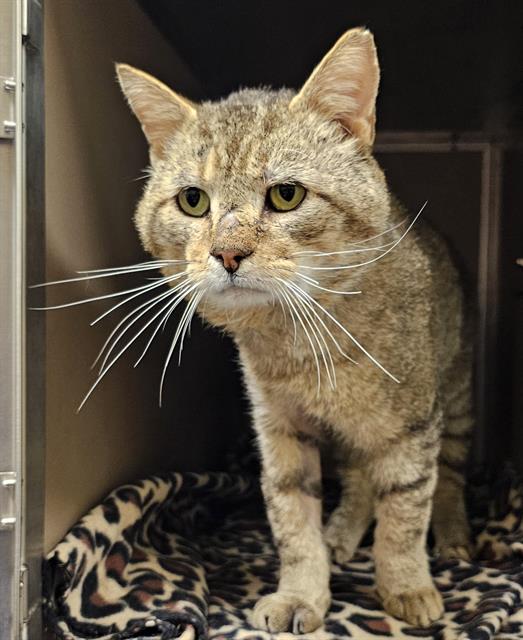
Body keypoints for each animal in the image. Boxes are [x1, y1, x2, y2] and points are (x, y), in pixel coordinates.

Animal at [115, 27, 474, 632]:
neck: (302, 338)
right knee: (358, 480)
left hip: (455, 390)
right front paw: (303, 593)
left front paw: (405, 586)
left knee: (447, 473)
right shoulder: (280, 429)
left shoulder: (411, 427)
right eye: (193, 201)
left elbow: (404, 513)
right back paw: (343, 531)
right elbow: (293, 519)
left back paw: (451, 531)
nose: (226, 253)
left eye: (287, 195)